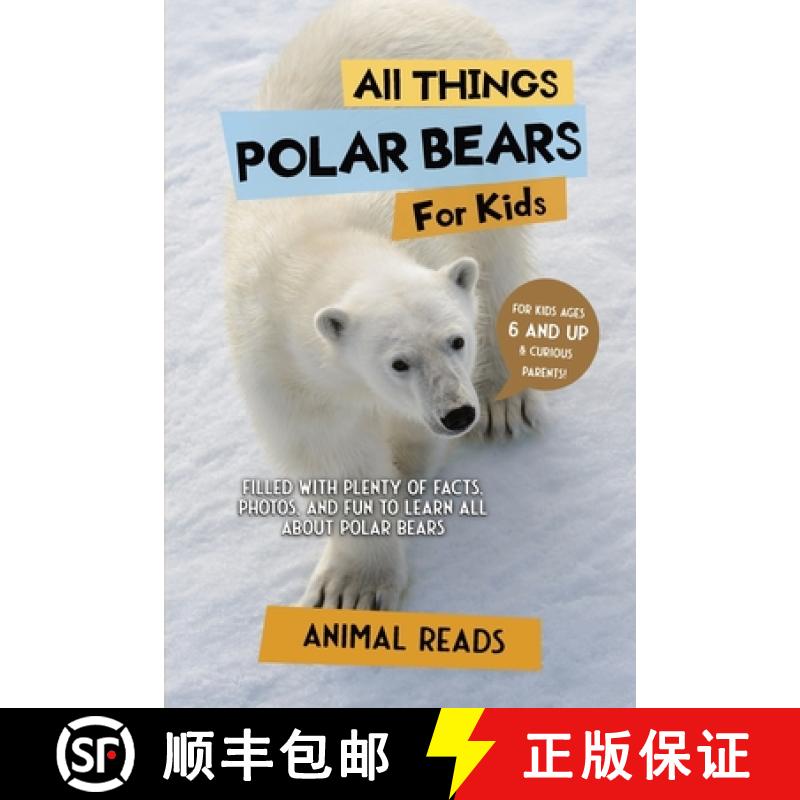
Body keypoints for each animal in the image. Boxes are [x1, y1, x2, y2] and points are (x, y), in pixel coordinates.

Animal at [225, 0, 541, 610]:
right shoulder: (279, 363)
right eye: (398, 362)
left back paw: (503, 401)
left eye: (456, 340)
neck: (323, 240)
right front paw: (350, 588)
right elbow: (334, 455)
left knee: (501, 255)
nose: (457, 413)